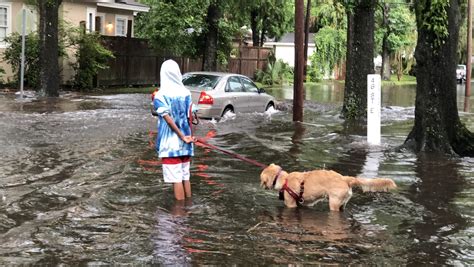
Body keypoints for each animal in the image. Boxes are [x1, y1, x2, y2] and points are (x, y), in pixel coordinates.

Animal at [260, 163, 396, 211]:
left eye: (262, 180)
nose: (261, 186)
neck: (284, 179)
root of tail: (345, 178)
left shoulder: (291, 204)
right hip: (342, 204)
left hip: (334, 202)